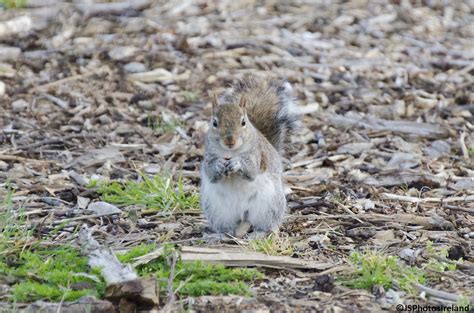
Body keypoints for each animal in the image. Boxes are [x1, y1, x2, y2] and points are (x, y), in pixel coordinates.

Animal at [201, 75, 298, 236]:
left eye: (243, 122)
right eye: (214, 123)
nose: (230, 140)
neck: (230, 152)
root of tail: (242, 215)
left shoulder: (257, 154)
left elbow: (251, 171)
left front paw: (237, 163)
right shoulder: (208, 156)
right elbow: (211, 173)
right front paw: (219, 164)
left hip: (268, 206)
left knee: (264, 224)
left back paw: (259, 234)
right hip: (217, 210)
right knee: (226, 227)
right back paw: (220, 235)